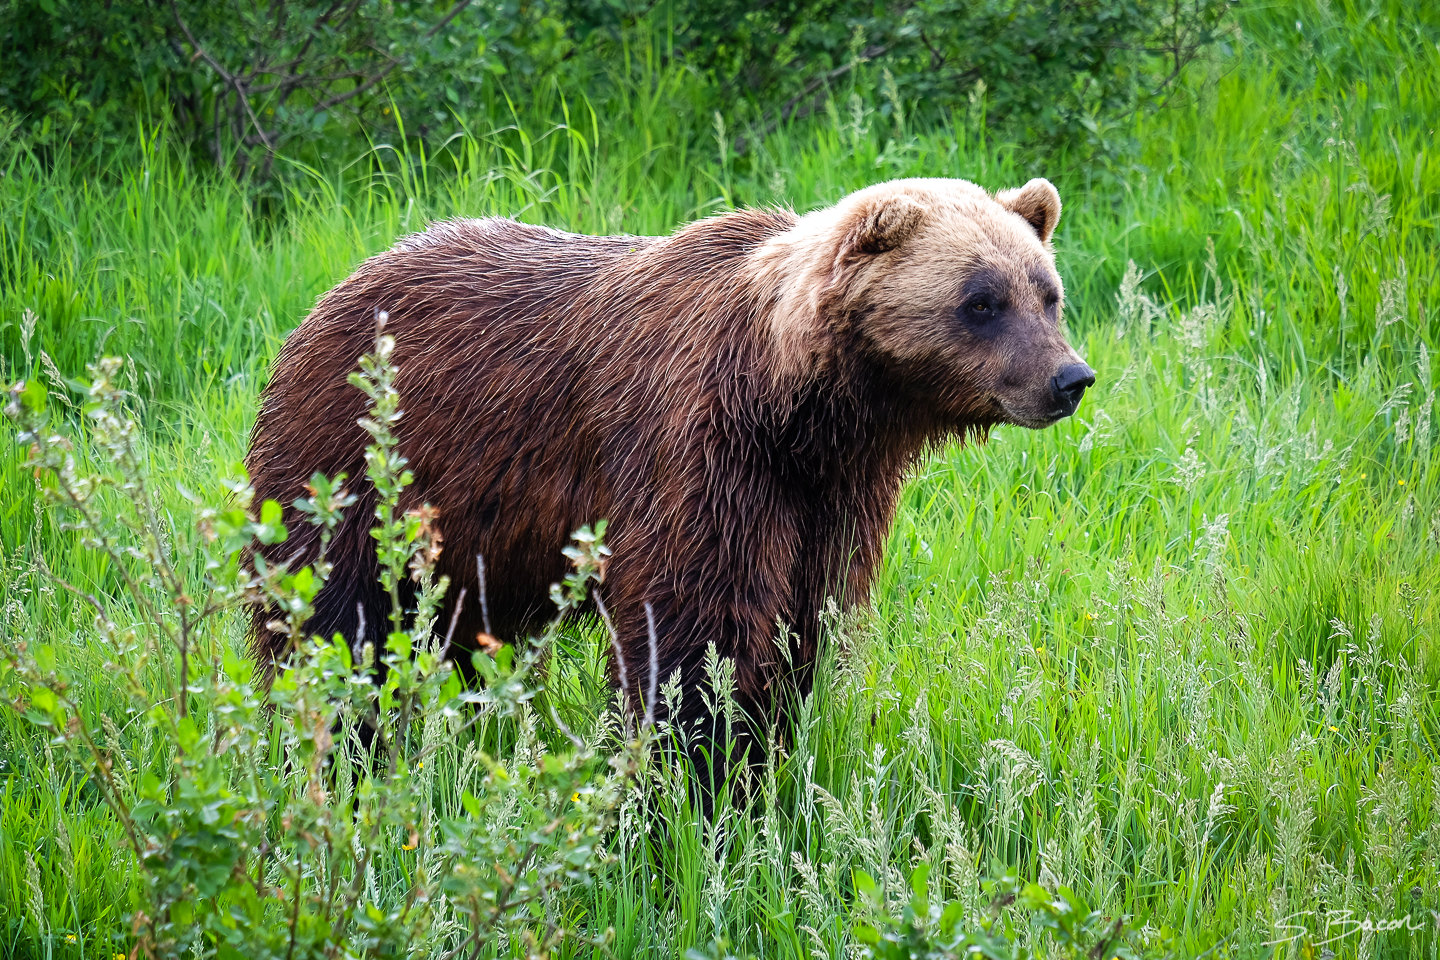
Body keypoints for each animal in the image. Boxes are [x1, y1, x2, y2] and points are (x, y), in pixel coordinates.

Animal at [245, 176, 1093, 778]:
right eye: (980, 300)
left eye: (1048, 292)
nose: (1069, 378)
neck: (792, 405)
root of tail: (326, 298)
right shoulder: (695, 448)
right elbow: (695, 626)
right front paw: (695, 771)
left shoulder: (832, 491)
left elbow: (800, 621)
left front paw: (763, 745)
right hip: (360, 459)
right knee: (332, 618)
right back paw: (335, 741)